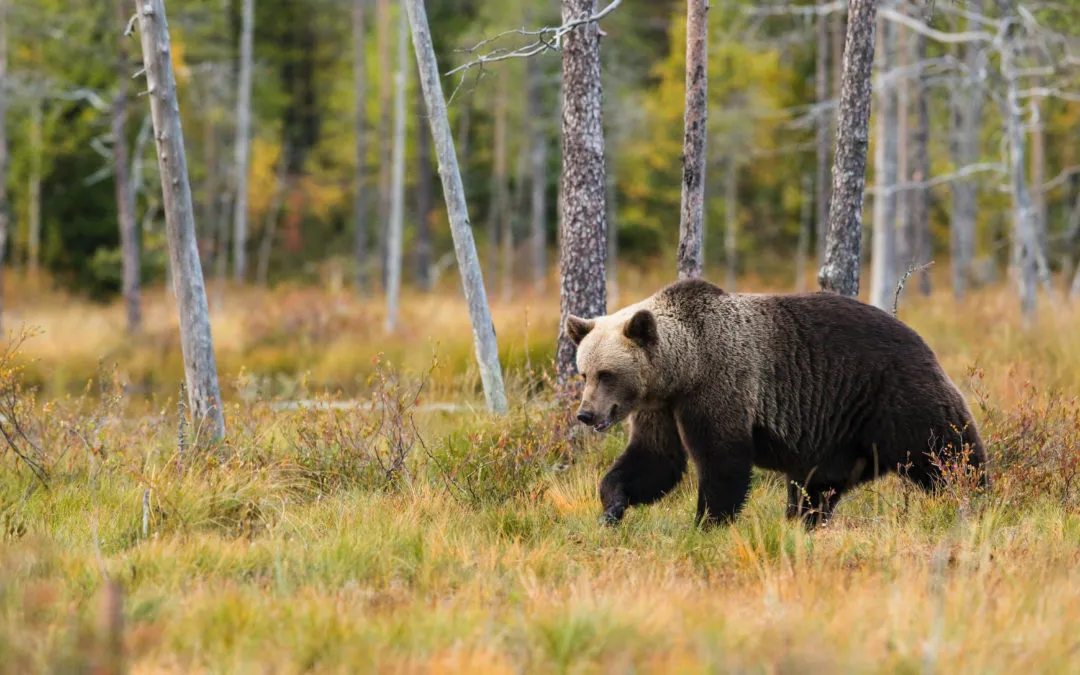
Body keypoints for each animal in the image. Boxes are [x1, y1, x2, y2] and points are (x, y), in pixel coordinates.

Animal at [565, 278, 987, 527]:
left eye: (607, 374)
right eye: (584, 373)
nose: (586, 414)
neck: (683, 368)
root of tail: (921, 340)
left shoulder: (721, 385)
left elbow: (723, 461)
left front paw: (708, 522)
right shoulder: (661, 408)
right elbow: (654, 460)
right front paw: (612, 506)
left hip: (894, 396)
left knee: (947, 451)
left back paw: (975, 498)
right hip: (837, 435)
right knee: (817, 486)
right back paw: (804, 521)